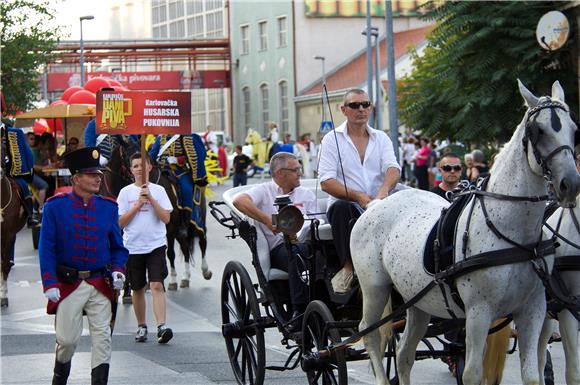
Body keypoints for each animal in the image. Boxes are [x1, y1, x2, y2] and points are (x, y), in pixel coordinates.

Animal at [348, 80, 580, 384]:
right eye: (538, 131)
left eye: (574, 130)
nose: (570, 184)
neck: (512, 234)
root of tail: (376, 204)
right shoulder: (479, 312)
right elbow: (472, 374)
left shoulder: (534, 308)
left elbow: (532, 374)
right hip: (374, 289)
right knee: (370, 335)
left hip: (418, 302)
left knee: (404, 354)